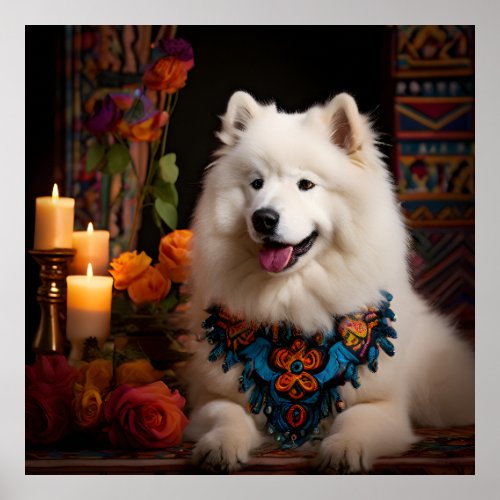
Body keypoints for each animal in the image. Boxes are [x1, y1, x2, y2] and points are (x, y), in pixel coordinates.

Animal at [183, 91, 472, 472]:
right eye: (256, 184)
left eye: (305, 184)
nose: (263, 218)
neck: (291, 303)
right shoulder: (211, 399)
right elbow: (228, 415)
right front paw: (218, 447)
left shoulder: (382, 405)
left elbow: (356, 419)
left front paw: (343, 449)